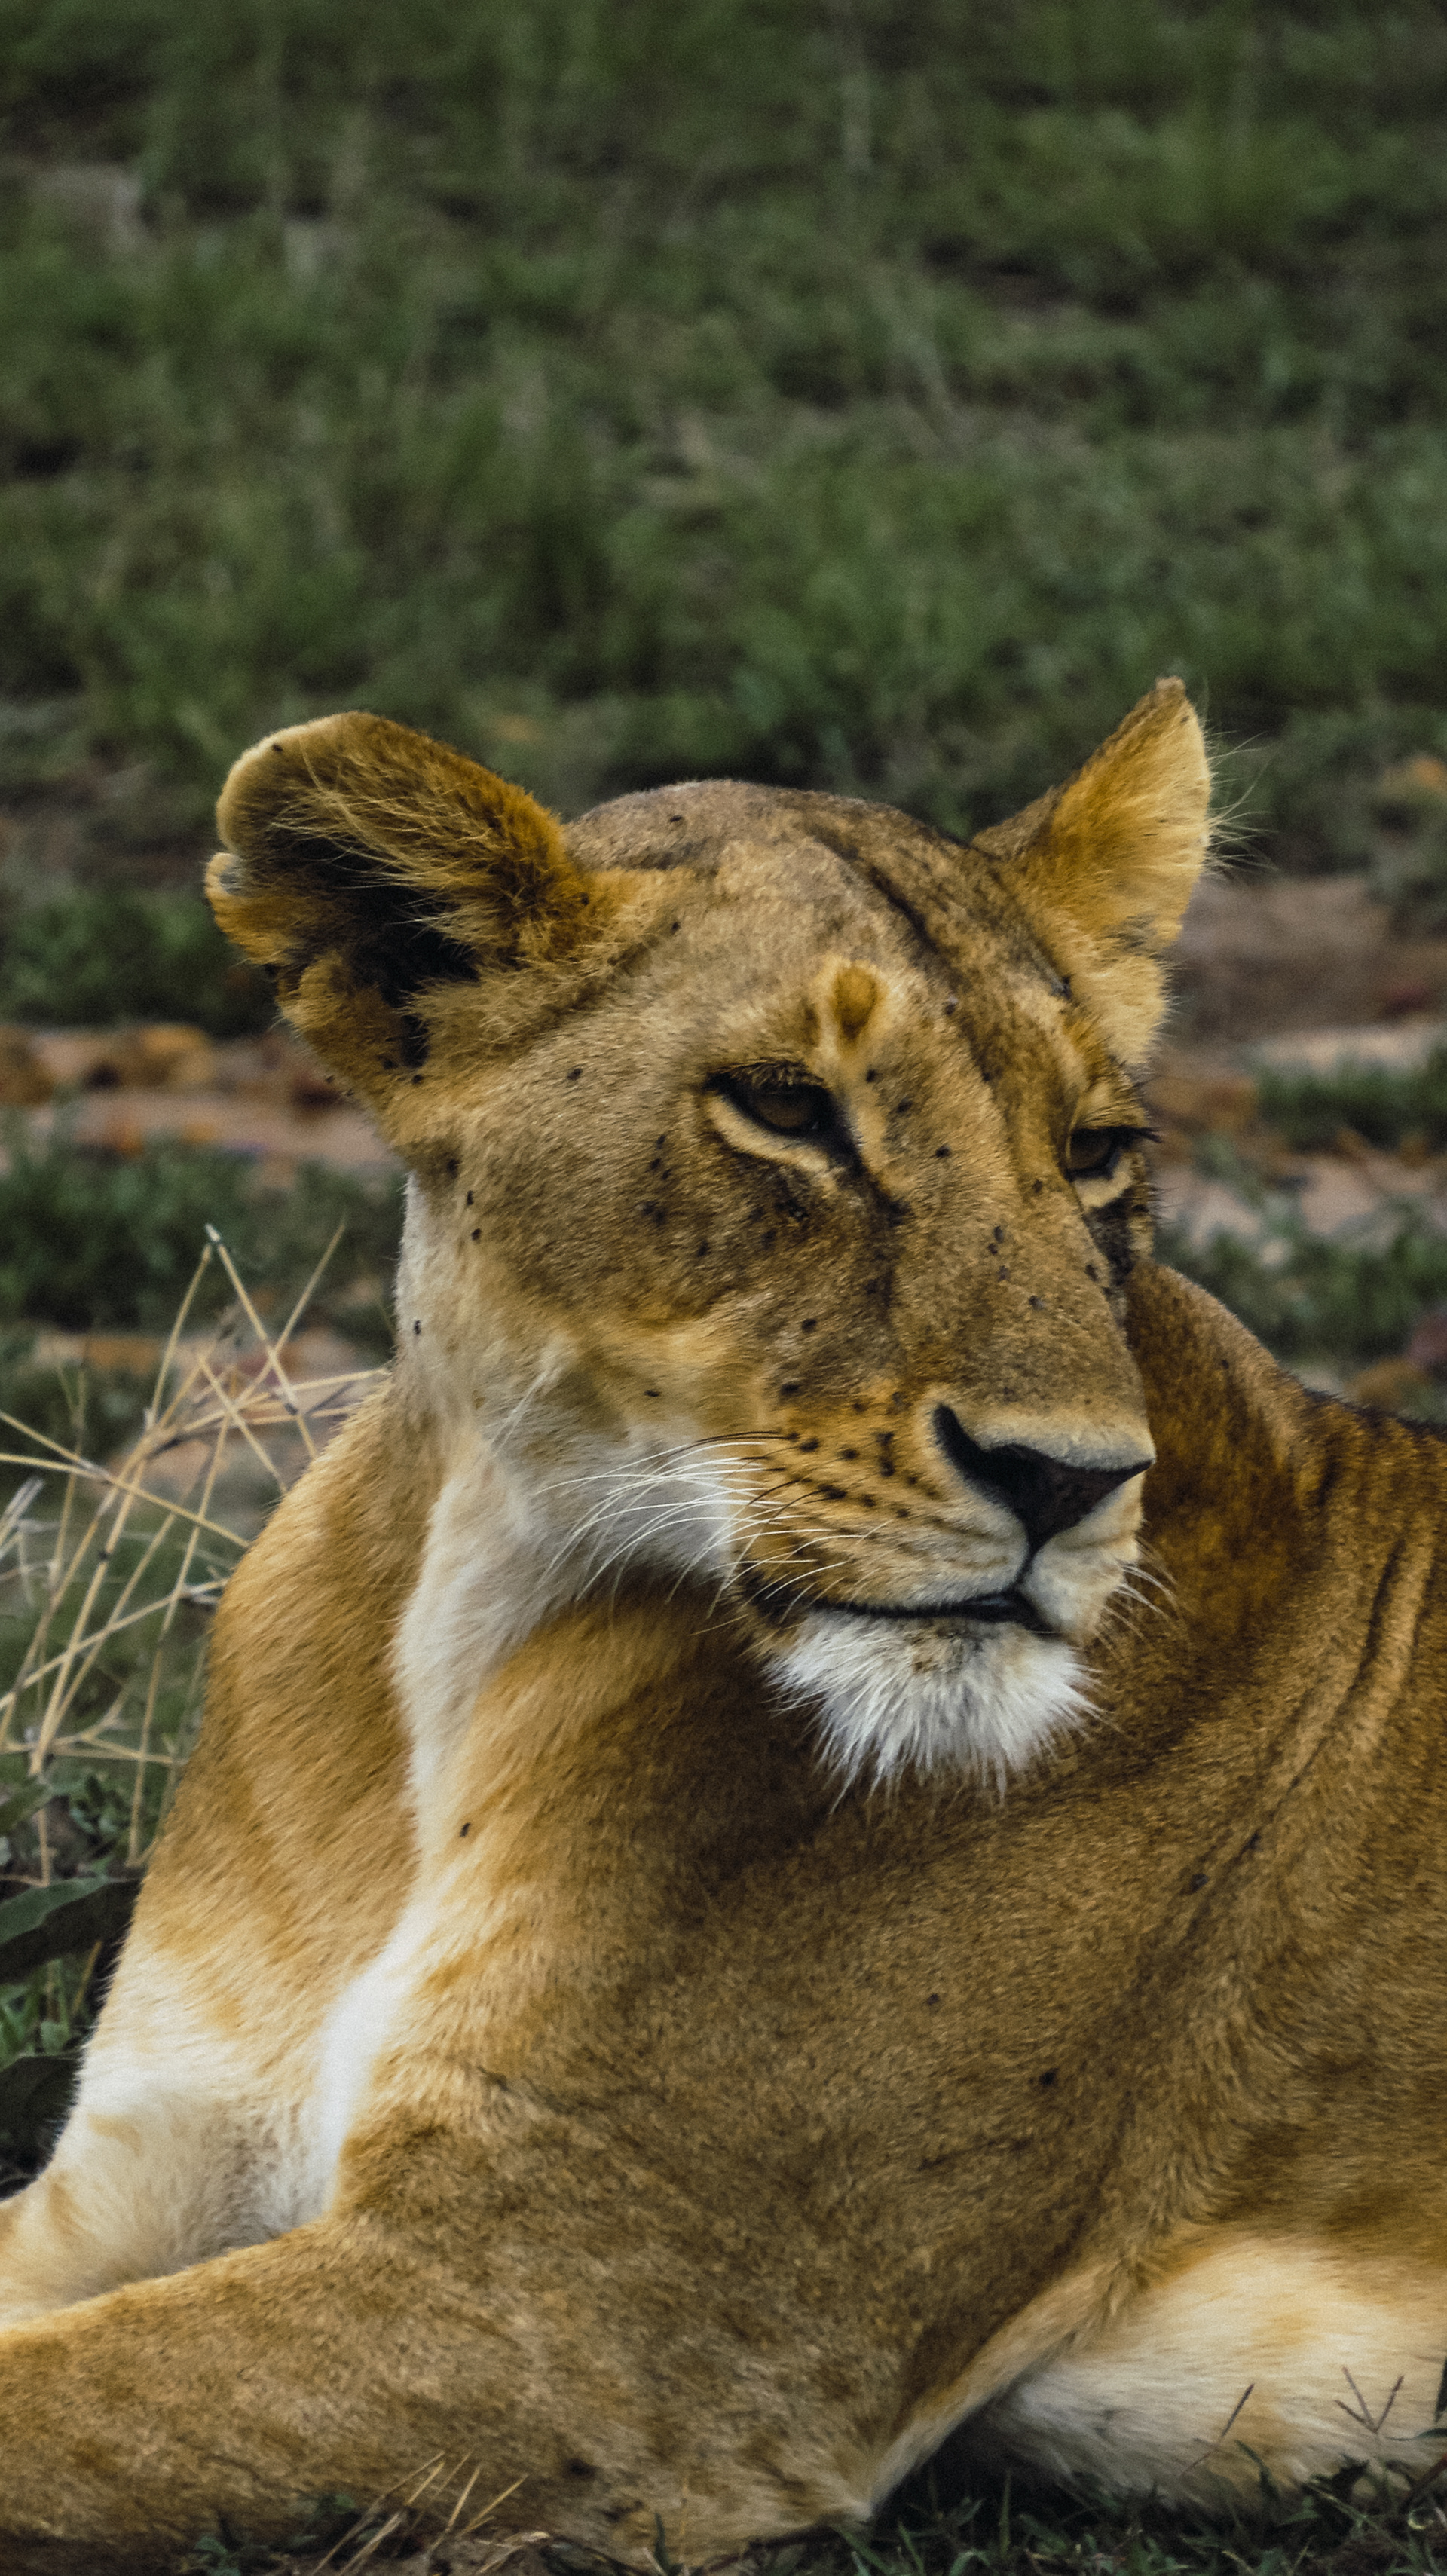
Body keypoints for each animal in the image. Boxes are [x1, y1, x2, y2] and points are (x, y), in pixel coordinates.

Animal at [2, 680, 1446, 2572]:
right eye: (785, 1109)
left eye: (1096, 1153)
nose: (1069, 1478)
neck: (476, 1587)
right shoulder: (159, 2161)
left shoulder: (607, 2324)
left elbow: (48, 2412)